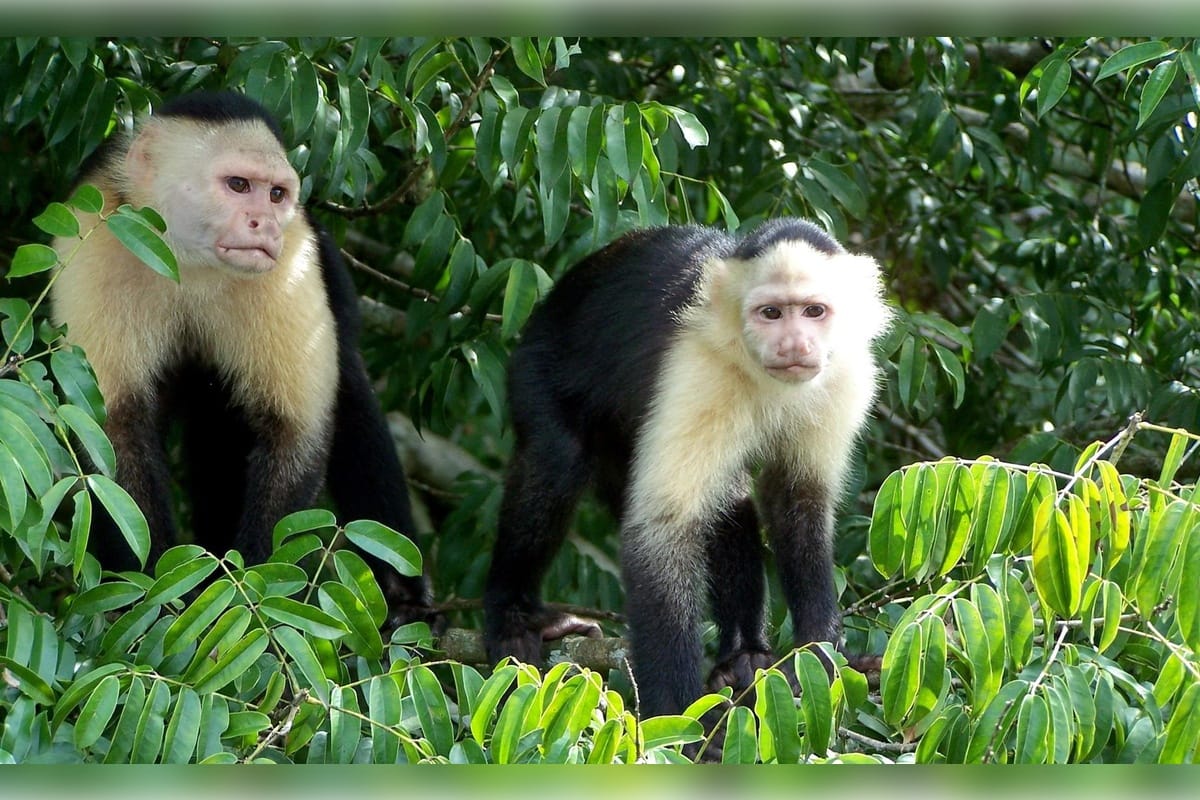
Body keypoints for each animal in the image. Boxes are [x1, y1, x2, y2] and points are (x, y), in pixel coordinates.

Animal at [50, 90, 434, 625]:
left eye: (275, 195)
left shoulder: (292, 258)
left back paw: (404, 597)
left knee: (346, 394)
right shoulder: (95, 238)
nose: (266, 224)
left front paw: (254, 600)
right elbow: (112, 436)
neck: (186, 258)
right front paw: (156, 602)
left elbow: (294, 432)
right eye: (238, 185)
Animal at [482, 218, 892, 718]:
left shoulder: (846, 375)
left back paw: (742, 656)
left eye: (815, 311)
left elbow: (798, 499)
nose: (795, 343)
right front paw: (676, 716)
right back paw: (511, 612)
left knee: (729, 497)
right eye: (771, 313)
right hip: (537, 365)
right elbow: (665, 528)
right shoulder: (698, 366)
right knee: (556, 459)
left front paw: (822, 655)